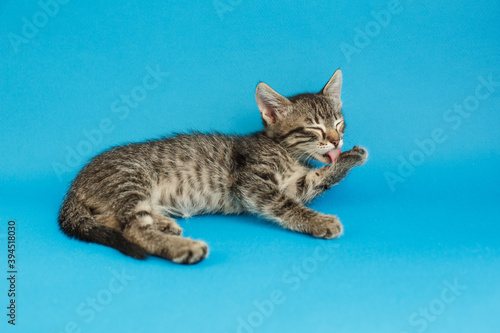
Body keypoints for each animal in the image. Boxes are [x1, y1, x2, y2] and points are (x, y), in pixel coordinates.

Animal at [58, 68, 368, 264]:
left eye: (338, 123)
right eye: (314, 128)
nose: (337, 140)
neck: (289, 154)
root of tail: (76, 183)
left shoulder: (297, 185)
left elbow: (319, 178)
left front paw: (351, 156)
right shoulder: (253, 183)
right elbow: (286, 205)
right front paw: (319, 221)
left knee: (117, 222)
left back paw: (164, 224)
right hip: (130, 179)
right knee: (133, 230)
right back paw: (185, 247)